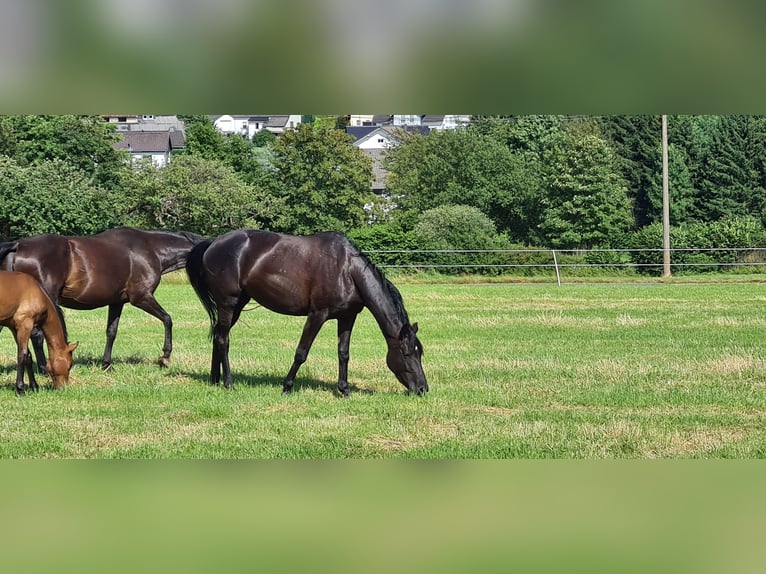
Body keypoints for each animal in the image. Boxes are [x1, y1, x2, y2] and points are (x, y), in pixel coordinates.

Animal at [0, 227, 204, 372]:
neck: (151, 249)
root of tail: (18, 246)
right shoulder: (141, 297)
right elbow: (168, 319)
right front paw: (165, 357)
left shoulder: (116, 302)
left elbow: (111, 331)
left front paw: (107, 364)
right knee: (37, 334)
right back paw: (43, 368)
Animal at [184, 230, 428, 396]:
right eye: (407, 353)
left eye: (420, 353)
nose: (422, 388)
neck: (347, 271)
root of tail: (213, 243)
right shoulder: (317, 315)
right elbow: (301, 352)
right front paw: (287, 387)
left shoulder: (347, 317)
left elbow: (343, 353)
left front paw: (344, 390)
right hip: (228, 303)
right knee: (223, 339)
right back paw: (228, 383)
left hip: (238, 304)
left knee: (218, 335)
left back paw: (214, 380)